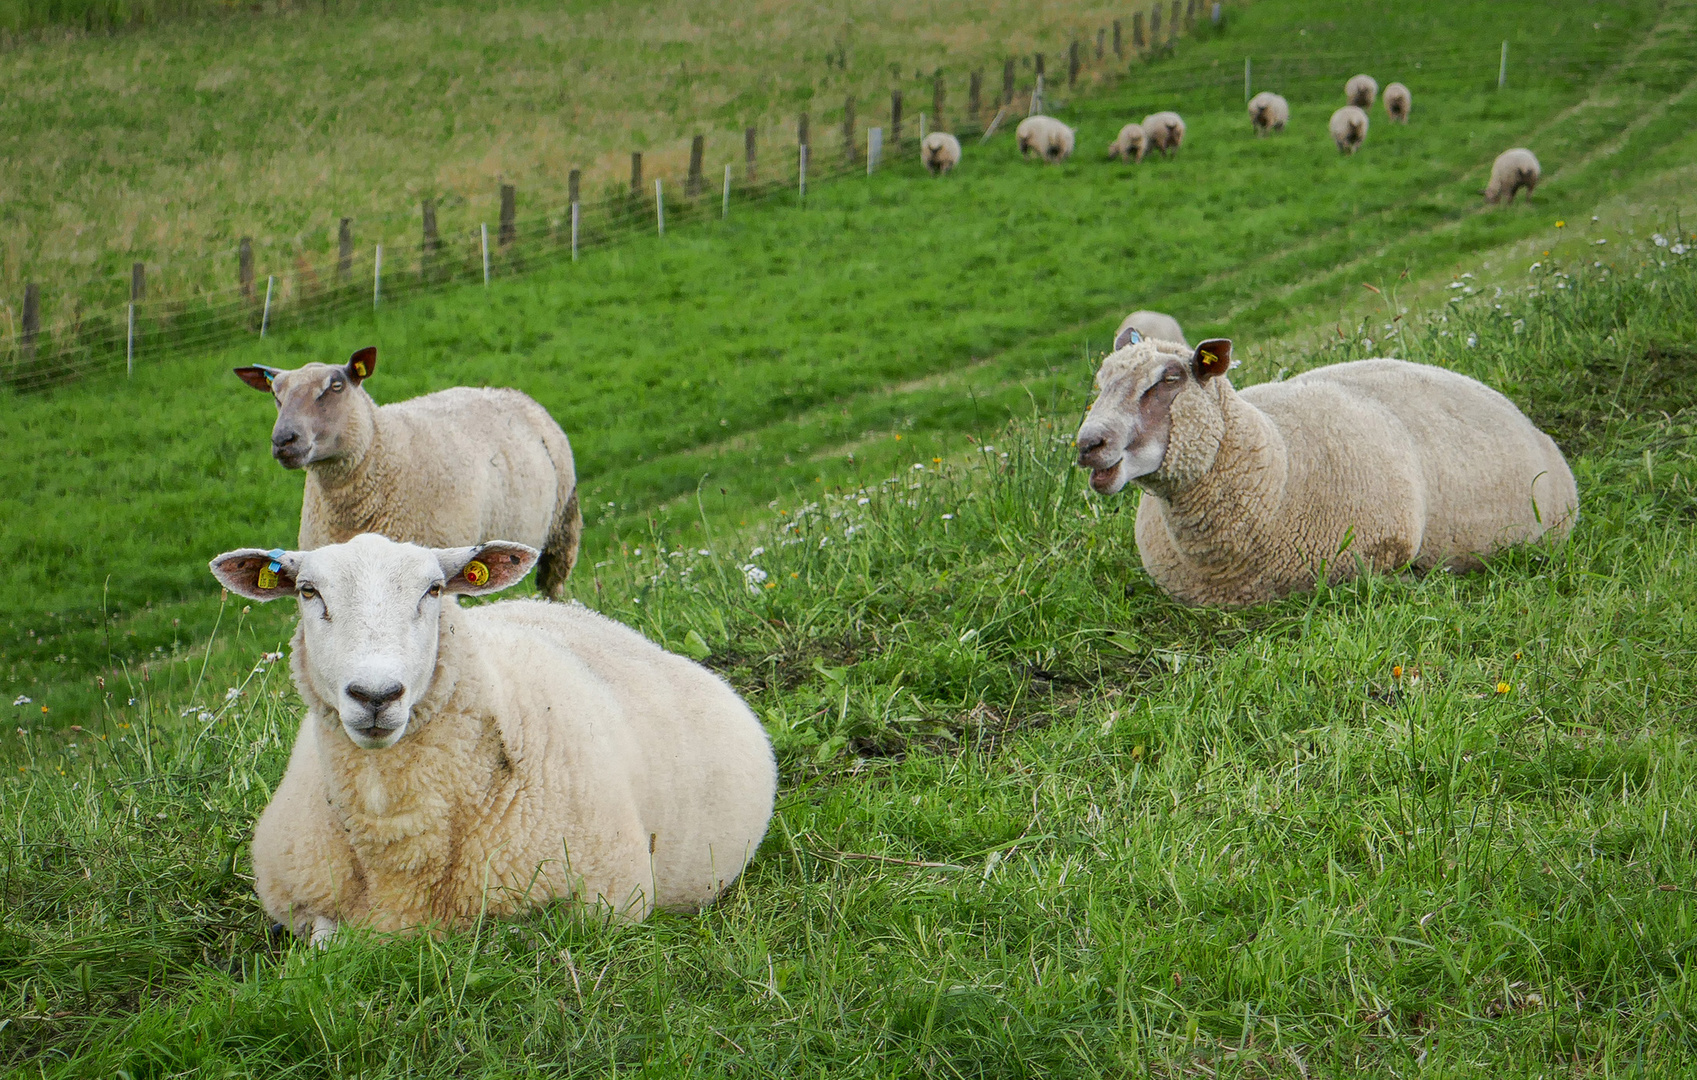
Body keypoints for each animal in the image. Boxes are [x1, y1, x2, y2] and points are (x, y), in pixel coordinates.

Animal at [207, 536, 780, 944]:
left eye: (434, 590)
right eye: (308, 591)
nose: (376, 694)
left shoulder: (602, 903)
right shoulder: (301, 904)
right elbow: (328, 943)